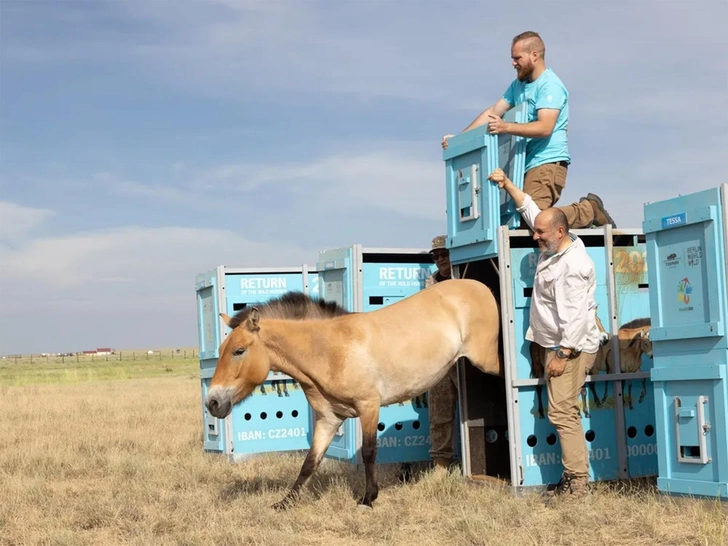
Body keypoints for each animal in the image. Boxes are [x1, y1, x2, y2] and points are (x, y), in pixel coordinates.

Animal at [205, 278, 500, 508]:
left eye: (239, 351)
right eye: (221, 350)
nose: (212, 402)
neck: (330, 350)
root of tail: (479, 287)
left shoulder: (369, 406)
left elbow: (369, 452)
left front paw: (368, 498)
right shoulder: (329, 420)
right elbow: (310, 462)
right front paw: (285, 502)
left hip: (488, 361)